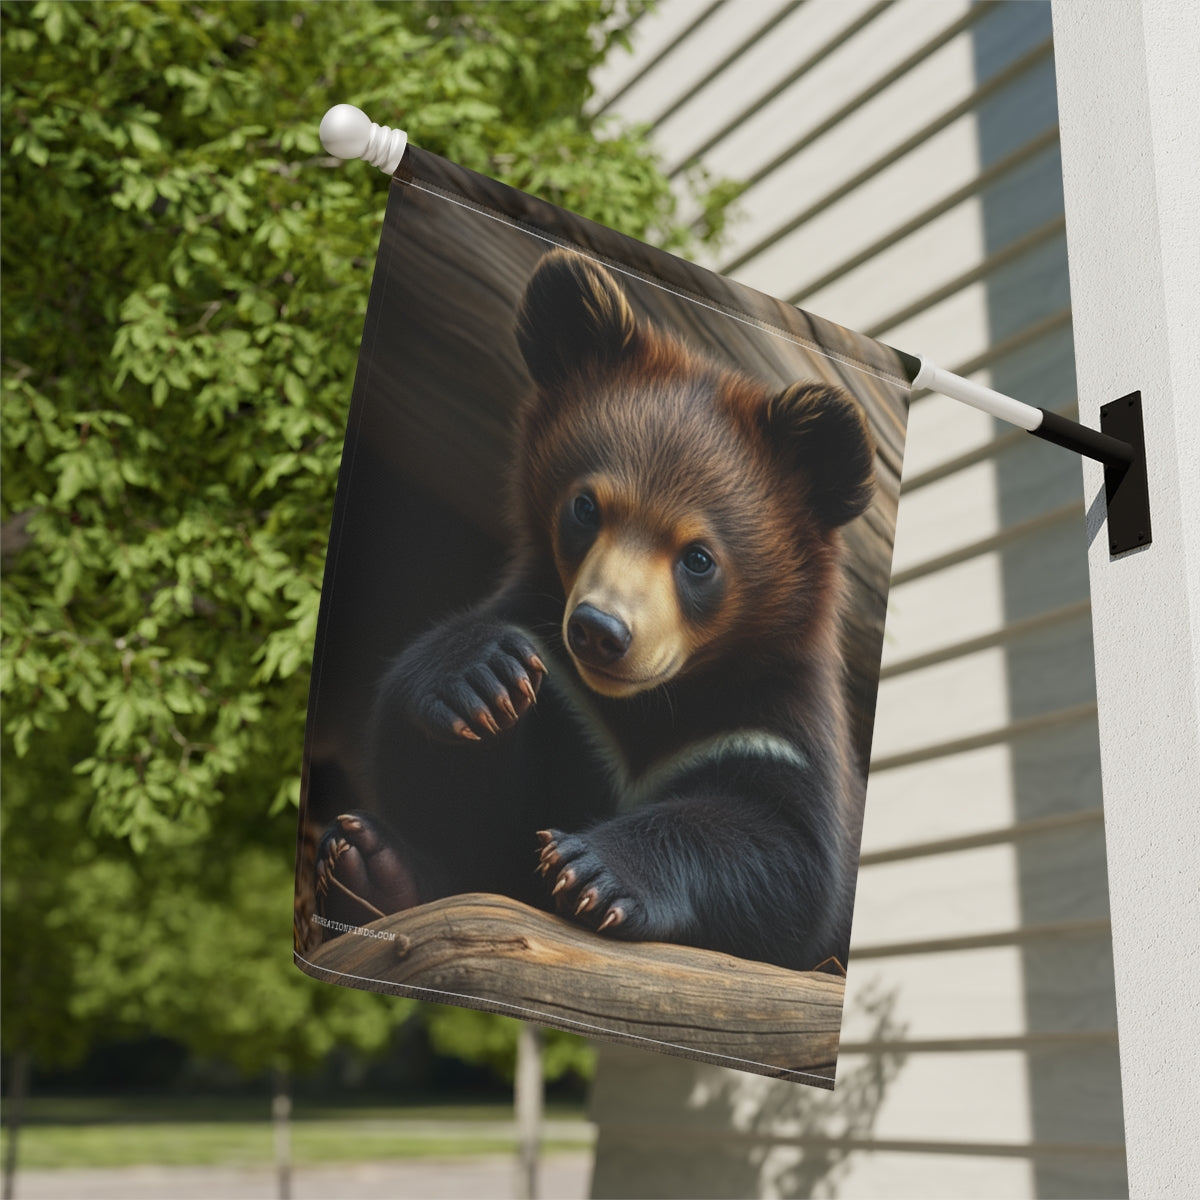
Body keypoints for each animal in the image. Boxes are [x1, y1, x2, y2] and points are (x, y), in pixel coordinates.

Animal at [314, 248, 875, 974]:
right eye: (586, 507)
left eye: (699, 558)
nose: (599, 632)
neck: (648, 706)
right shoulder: (557, 679)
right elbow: (444, 782)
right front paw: (481, 681)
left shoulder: (774, 727)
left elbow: (790, 858)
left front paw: (592, 869)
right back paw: (367, 865)